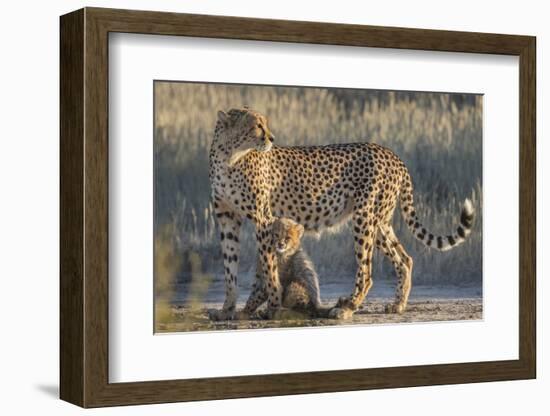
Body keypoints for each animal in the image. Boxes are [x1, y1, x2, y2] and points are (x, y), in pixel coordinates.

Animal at [209, 105, 476, 320]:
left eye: (264, 124)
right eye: (257, 125)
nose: (272, 138)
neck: (229, 157)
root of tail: (390, 152)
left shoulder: (263, 219)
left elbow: (268, 266)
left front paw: (271, 306)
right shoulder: (227, 218)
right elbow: (230, 268)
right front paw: (227, 309)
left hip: (364, 218)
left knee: (366, 270)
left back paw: (347, 307)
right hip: (379, 222)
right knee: (404, 258)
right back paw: (397, 305)